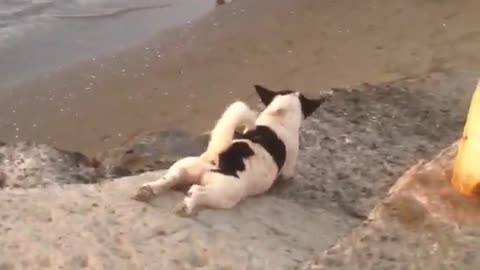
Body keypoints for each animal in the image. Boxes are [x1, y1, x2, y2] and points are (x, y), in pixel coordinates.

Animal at [131, 84, 326, 215]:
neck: (277, 119)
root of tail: (217, 158)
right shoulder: (288, 169)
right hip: (226, 193)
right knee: (197, 191)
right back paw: (186, 206)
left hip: (184, 167)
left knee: (170, 178)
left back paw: (148, 190)